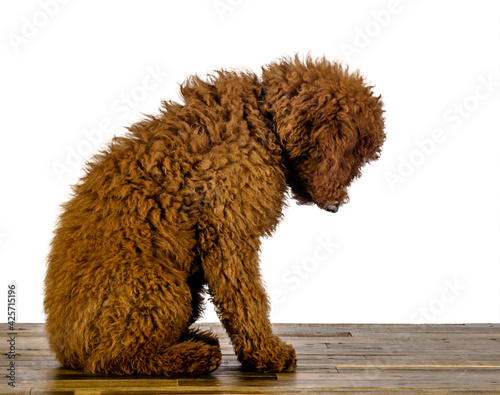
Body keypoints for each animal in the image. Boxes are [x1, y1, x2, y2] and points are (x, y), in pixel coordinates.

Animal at [45, 55, 384, 374]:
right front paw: (267, 354)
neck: (263, 119)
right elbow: (246, 298)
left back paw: (195, 341)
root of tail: (64, 348)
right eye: (356, 156)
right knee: (114, 358)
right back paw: (193, 357)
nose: (336, 206)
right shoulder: (229, 232)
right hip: (158, 285)